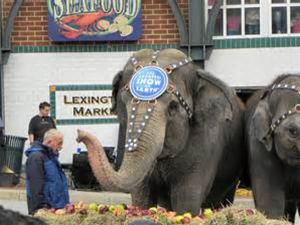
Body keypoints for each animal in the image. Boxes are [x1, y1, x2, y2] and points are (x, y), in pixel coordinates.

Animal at [76, 48, 245, 214]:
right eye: (124, 103)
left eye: (173, 107)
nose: (79, 134)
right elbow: (141, 195)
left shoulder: (207, 138)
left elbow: (186, 198)